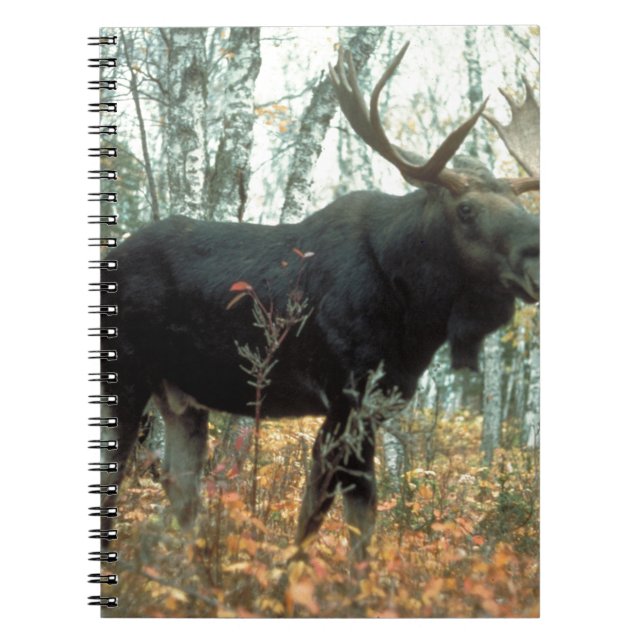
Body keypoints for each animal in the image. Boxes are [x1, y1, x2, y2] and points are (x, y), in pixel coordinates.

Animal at [98, 42, 539, 562]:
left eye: (523, 206)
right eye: (466, 210)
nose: (535, 257)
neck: (417, 316)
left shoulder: (377, 403)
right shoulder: (347, 395)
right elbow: (334, 516)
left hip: (181, 397)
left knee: (181, 492)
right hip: (125, 374)